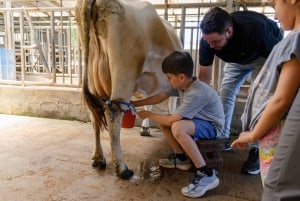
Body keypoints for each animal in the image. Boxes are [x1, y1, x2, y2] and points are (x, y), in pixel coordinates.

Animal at [76, 0, 182, 179]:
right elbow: (171, 105)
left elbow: (149, 104)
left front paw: (146, 128)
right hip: (125, 72)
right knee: (113, 115)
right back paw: (122, 168)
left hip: (93, 78)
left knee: (95, 115)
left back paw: (98, 158)